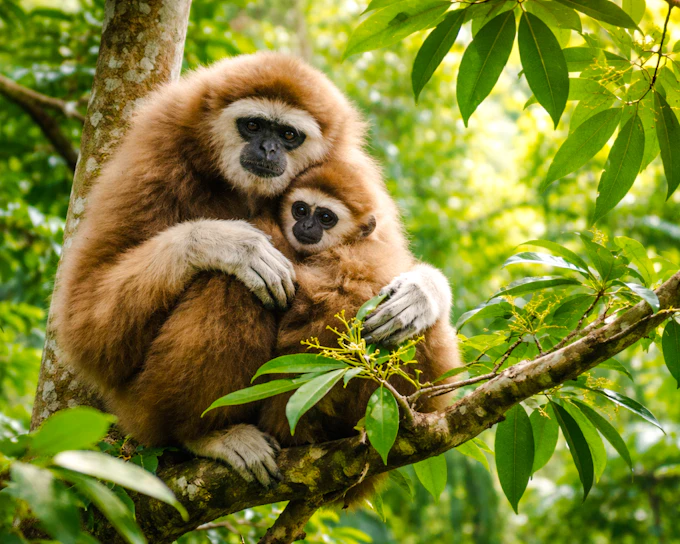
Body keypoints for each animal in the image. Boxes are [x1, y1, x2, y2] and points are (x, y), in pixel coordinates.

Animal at [53, 52, 455, 487]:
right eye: (253, 125)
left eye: (289, 135)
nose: (267, 147)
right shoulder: (156, 150)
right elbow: (87, 324)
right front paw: (229, 244)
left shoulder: (348, 164)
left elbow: (385, 263)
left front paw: (422, 291)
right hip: (141, 408)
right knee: (231, 284)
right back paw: (205, 433)